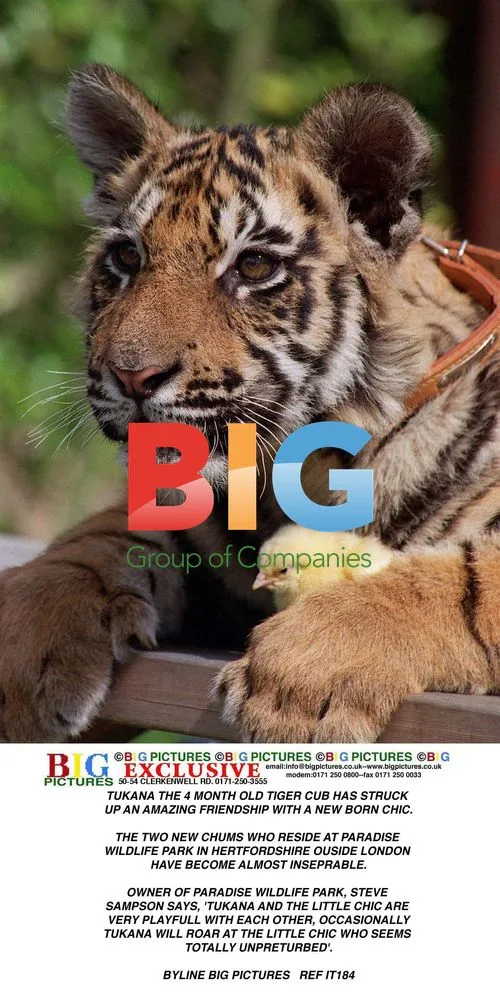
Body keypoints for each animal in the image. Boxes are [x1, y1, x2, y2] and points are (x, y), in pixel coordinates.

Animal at [0, 64, 498, 743]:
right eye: (127, 257)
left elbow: (462, 582)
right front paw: (25, 637)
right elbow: (99, 537)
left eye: (254, 265)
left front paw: (304, 673)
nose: (131, 376)